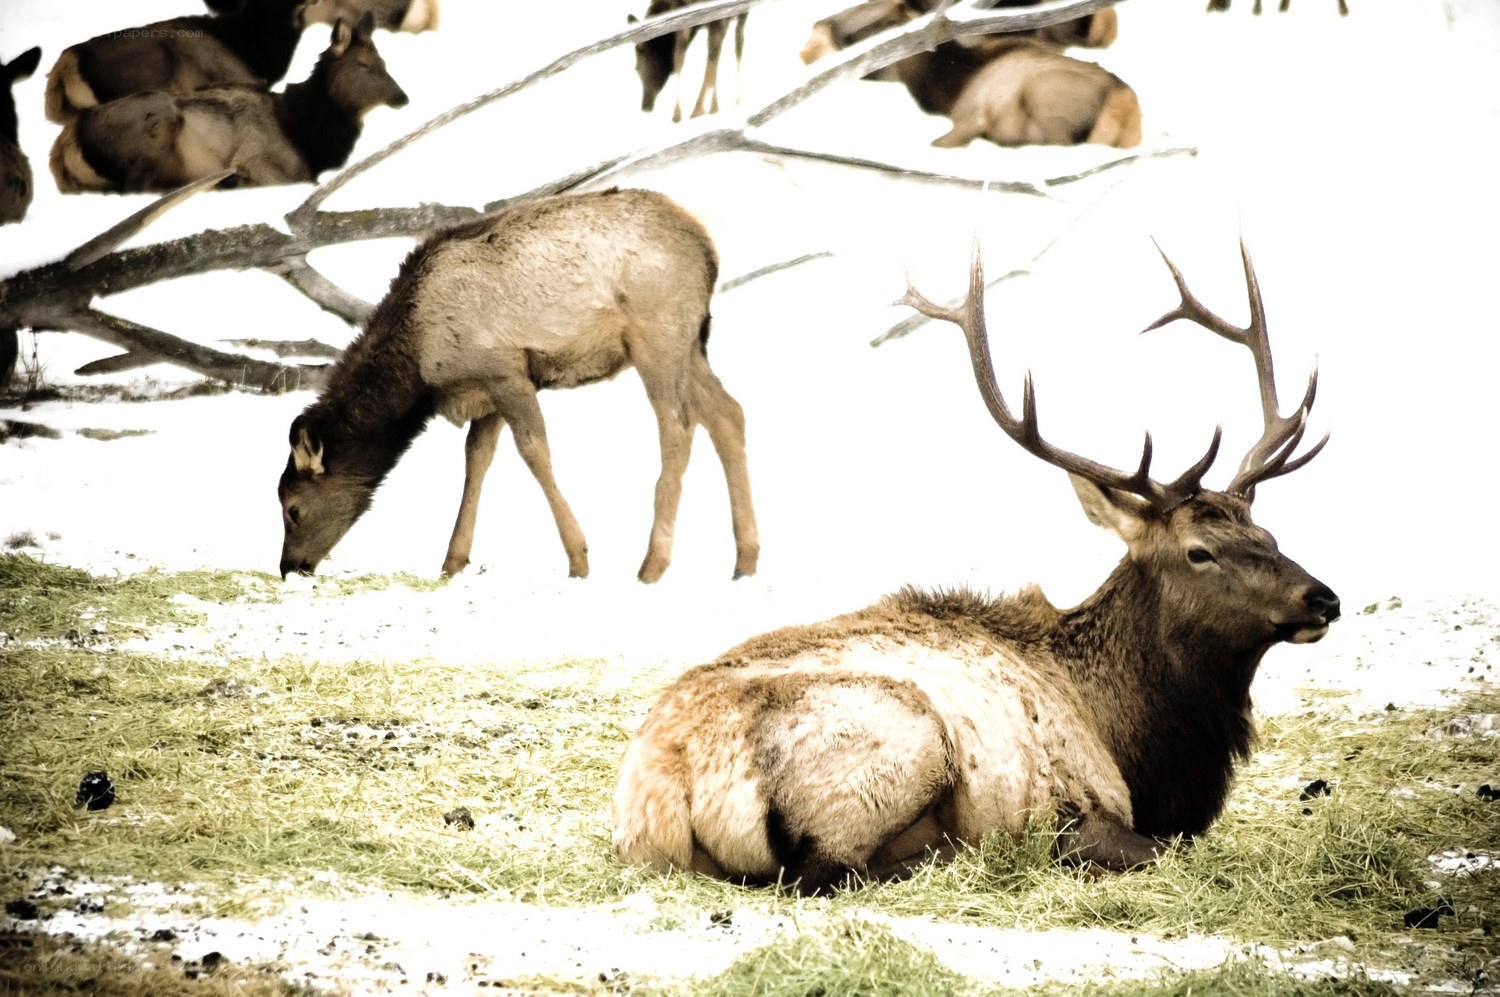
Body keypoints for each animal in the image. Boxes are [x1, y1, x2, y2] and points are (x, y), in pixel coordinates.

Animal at [50, 14, 408, 194]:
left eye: (384, 61)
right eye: (365, 64)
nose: (402, 97)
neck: (307, 137)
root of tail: (61, 152)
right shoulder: (260, 160)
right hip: (154, 123)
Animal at [277, 187, 759, 584]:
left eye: (292, 508)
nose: (289, 567)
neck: (419, 370)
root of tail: (709, 250)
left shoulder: (505, 371)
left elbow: (534, 452)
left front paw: (579, 558)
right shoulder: (484, 392)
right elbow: (476, 461)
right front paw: (452, 562)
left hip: (656, 335)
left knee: (679, 426)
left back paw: (653, 563)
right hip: (692, 342)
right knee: (728, 412)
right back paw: (746, 558)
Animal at [612, 239, 1340, 894]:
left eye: (1268, 533)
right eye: (1198, 551)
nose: (1323, 598)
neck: (1141, 742)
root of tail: (665, 785)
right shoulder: (1084, 799)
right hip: (902, 740)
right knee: (825, 873)